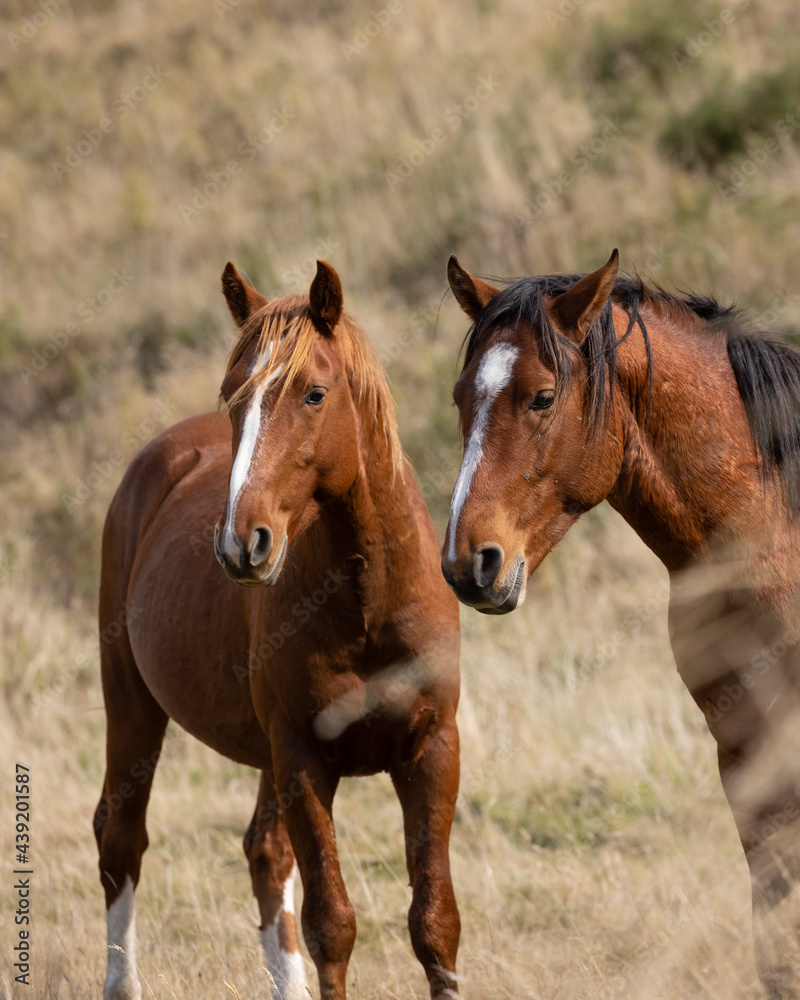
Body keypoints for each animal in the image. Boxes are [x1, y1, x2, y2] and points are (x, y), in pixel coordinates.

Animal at [94, 260, 462, 1000]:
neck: (369, 602)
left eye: (315, 393)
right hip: (131, 705)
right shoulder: (302, 759)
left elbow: (434, 923)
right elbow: (332, 925)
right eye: (232, 396)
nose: (243, 543)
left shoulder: (433, 751)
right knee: (121, 839)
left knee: (264, 855)